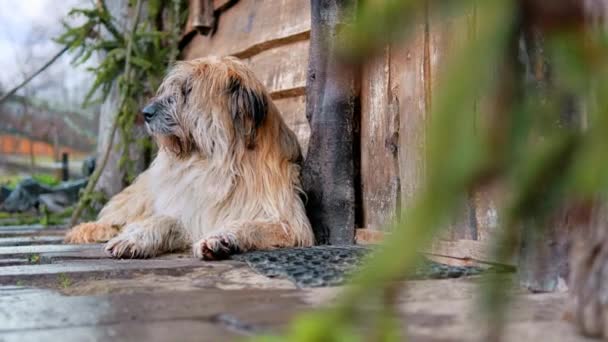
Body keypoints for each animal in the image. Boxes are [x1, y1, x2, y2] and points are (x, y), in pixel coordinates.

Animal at [64, 56, 316, 260]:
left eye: (187, 90)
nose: (146, 113)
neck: (218, 164)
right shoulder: (187, 209)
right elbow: (163, 220)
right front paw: (135, 237)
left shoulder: (292, 224)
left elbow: (251, 225)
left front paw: (223, 238)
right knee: (117, 217)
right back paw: (91, 229)